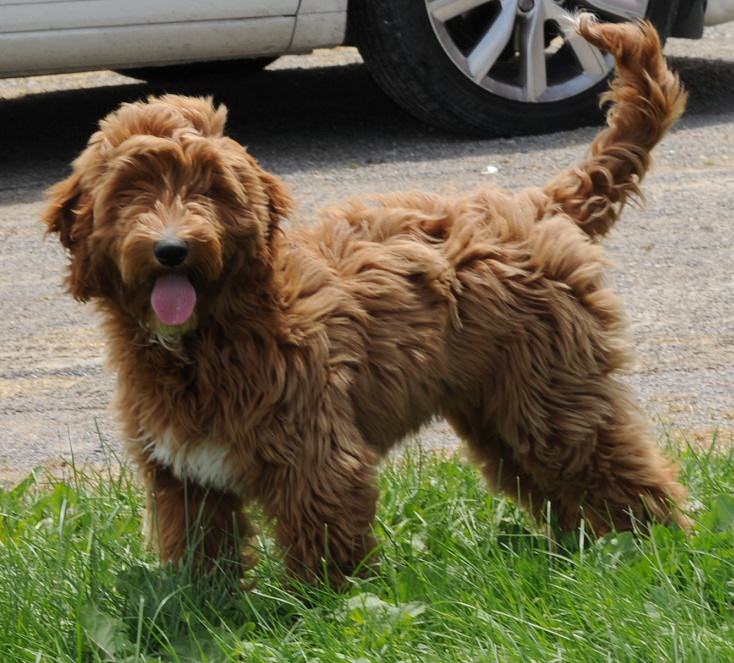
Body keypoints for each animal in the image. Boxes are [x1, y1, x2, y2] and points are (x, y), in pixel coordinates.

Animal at [44, 18, 688, 584]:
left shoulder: (315, 456)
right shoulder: (184, 477)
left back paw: (660, 555)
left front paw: (319, 614)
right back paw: (582, 558)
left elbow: (327, 553)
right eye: (130, 190)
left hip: (556, 399)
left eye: (210, 188)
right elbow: (201, 553)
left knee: (625, 477)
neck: (209, 336)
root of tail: (540, 204)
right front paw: (203, 607)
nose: (173, 249)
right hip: (500, 409)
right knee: (559, 491)